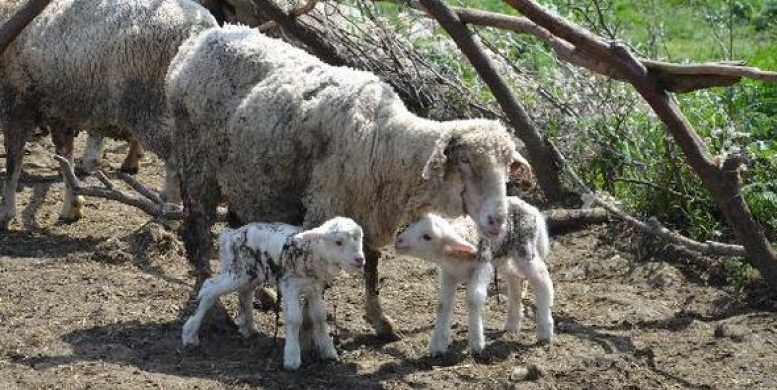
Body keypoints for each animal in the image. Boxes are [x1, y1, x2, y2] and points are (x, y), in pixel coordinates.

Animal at [0, 0, 217, 229]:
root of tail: (200, 27)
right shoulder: (60, 113)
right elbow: (65, 159)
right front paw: (72, 207)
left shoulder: (15, 105)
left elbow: (13, 165)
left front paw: (6, 213)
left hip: (152, 109)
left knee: (175, 162)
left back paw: (169, 214)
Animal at [167, 25, 532, 342]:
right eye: (466, 161)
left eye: (506, 167)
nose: (497, 220)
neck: (384, 144)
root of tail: (199, 41)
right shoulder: (324, 208)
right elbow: (316, 277)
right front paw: (310, 333)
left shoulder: (367, 212)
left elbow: (371, 267)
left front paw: (379, 320)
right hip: (196, 163)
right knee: (197, 230)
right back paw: (214, 303)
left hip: (248, 176)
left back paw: (264, 293)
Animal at [183, 216, 366, 372]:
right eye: (338, 242)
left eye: (360, 239)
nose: (360, 260)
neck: (312, 253)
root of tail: (230, 235)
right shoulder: (290, 286)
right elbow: (294, 319)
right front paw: (292, 358)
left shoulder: (315, 288)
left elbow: (319, 317)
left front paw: (328, 351)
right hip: (238, 270)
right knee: (209, 289)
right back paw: (190, 333)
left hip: (250, 273)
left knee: (244, 292)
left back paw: (248, 327)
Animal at [398, 195, 556, 354]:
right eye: (411, 225)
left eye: (427, 237)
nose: (398, 241)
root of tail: (531, 208)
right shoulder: (449, 272)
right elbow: (443, 304)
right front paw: (438, 346)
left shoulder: (483, 265)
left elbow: (474, 298)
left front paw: (476, 342)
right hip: (503, 255)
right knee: (515, 279)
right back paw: (512, 324)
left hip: (524, 249)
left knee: (542, 280)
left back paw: (545, 330)